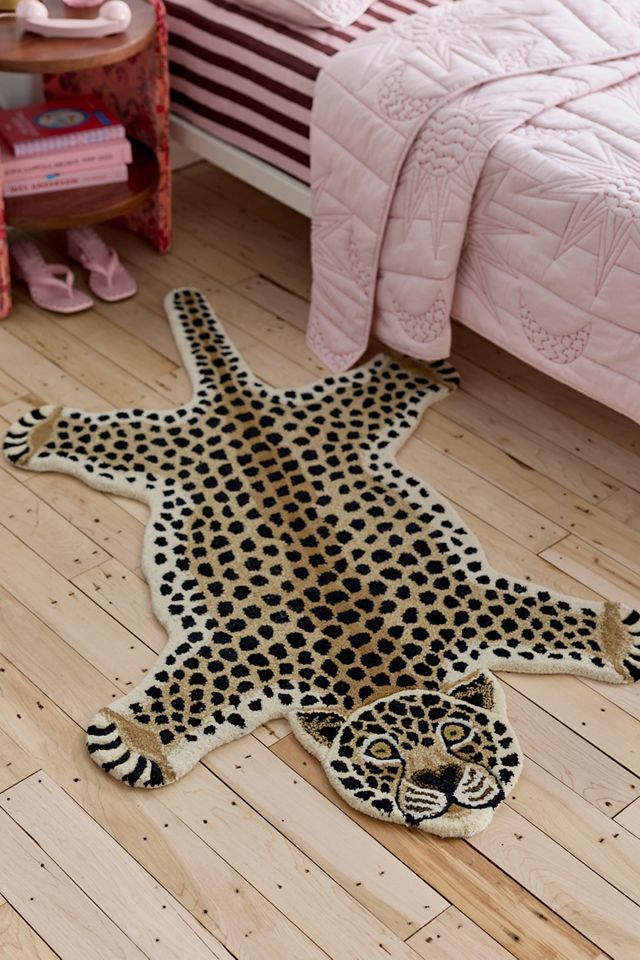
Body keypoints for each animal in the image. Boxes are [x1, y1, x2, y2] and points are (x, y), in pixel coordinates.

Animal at [4, 288, 639, 838]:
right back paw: (39, 431)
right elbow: (192, 693)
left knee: (376, 385)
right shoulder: (242, 656)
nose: (444, 779)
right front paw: (134, 739)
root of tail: (239, 398)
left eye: (456, 732)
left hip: (337, 414)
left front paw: (616, 638)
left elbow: (544, 617)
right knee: (109, 435)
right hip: (164, 455)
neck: (381, 667)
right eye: (381, 752)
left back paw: (417, 363)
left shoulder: (472, 602)